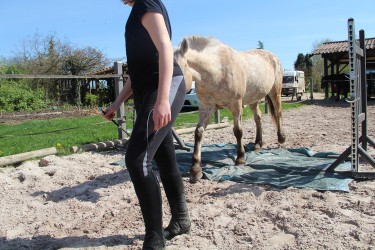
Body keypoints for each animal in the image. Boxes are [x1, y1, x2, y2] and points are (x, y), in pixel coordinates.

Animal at [175, 36, 286, 183]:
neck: (217, 71)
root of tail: (273, 56)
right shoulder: (206, 107)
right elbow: (198, 133)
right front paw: (195, 170)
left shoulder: (236, 105)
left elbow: (238, 131)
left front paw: (240, 158)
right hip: (254, 99)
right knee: (258, 117)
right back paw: (258, 143)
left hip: (275, 91)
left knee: (278, 112)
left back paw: (281, 137)